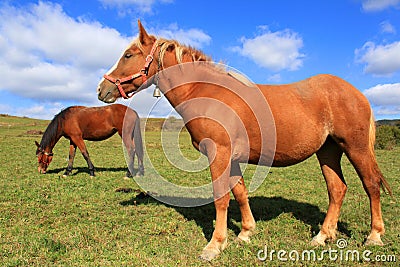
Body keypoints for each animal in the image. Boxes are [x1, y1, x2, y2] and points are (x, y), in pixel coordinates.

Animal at [96, 21, 390, 262]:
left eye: (128, 55)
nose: (102, 89)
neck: (206, 92)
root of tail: (357, 93)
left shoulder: (219, 154)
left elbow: (221, 198)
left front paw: (215, 245)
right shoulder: (232, 158)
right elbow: (239, 193)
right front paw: (246, 232)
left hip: (355, 148)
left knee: (370, 185)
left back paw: (374, 236)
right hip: (328, 151)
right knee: (337, 189)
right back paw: (323, 235)